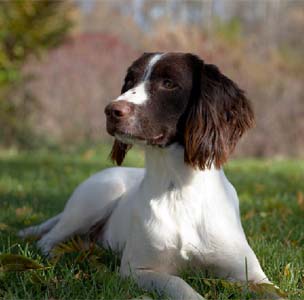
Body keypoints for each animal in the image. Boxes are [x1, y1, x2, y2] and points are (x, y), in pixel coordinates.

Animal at [19, 52, 276, 298]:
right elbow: (180, 285)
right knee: (47, 240)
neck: (178, 187)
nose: (111, 111)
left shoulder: (251, 275)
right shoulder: (137, 269)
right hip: (96, 197)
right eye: (129, 81)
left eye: (168, 83)